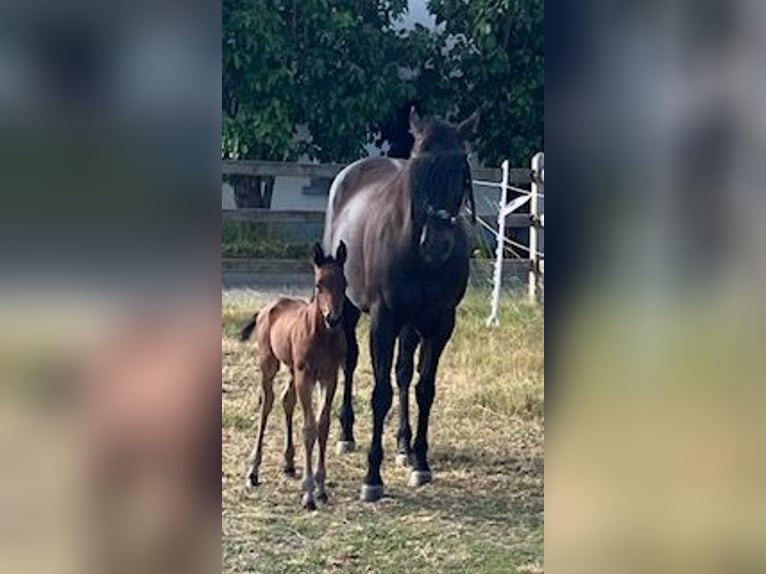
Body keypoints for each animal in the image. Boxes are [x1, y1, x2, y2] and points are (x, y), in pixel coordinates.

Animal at [240, 242, 348, 510]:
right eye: (319, 285)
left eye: (345, 283)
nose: (333, 318)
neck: (322, 336)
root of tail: (267, 307)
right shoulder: (305, 376)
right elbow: (309, 428)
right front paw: (308, 494)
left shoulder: (330, 377)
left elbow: (323, 425)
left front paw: (321, 488)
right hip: (270, 363)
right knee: (267, 404)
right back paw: (253, 471)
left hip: (290, 368)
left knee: (286, 400)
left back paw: (288, 463)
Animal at [323, 108, 479, 502]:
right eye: (418, 167)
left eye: (460, 169)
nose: (436, 244)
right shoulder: (384, 319)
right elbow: (381, 393)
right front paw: (372, 478)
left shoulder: (440, 322)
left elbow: (424, 387)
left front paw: (420, 462)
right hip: (349, 309)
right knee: (350, 361)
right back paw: (346, 434)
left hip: (412, 325)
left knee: (404, 371)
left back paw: (404, 446)